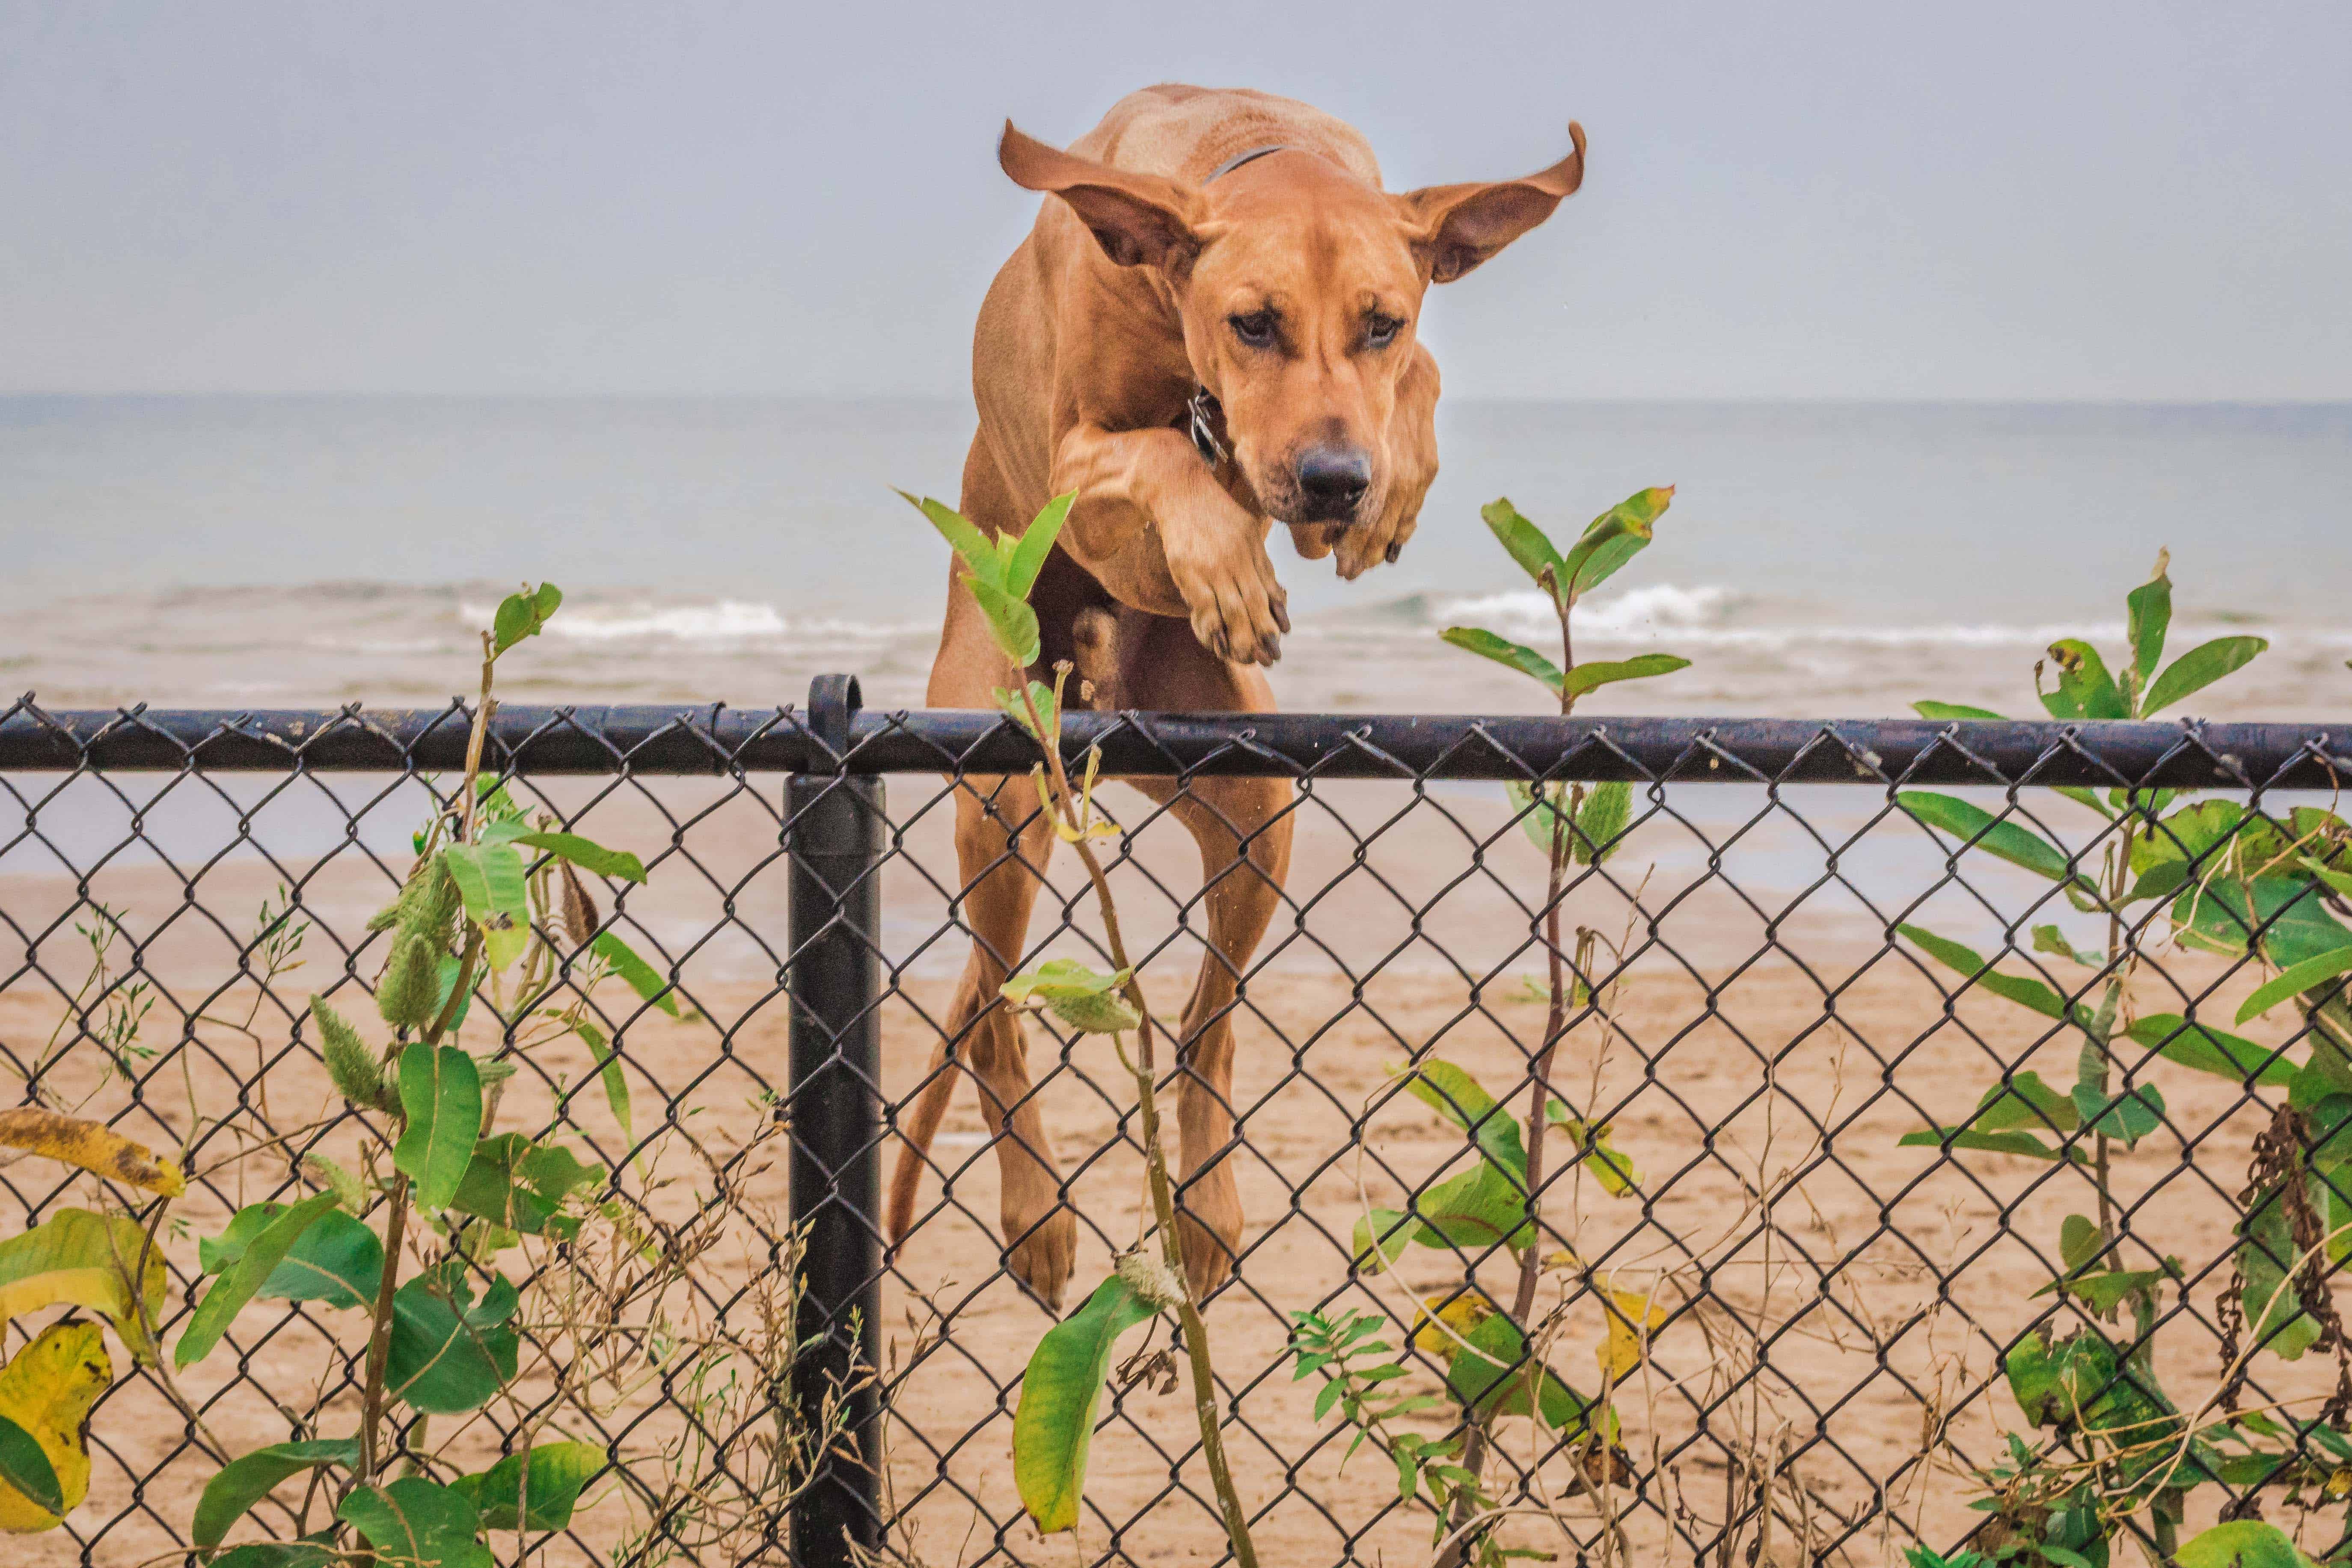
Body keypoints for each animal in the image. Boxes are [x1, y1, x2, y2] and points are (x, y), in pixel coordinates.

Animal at [889, 86, 1590, 1316]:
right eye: (1253, 323)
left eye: (1382, 324)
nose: (1333, 481)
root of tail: (1097, 678)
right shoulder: (1081, 461)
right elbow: (1160, 457)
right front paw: (1225, 556)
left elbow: (1424, 387)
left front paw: (1392, 488)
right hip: (1004, 788)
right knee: (996, 1028)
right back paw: (1037, 1216)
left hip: (1258, 797)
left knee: (1203, 1030)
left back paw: (1207, 1208)